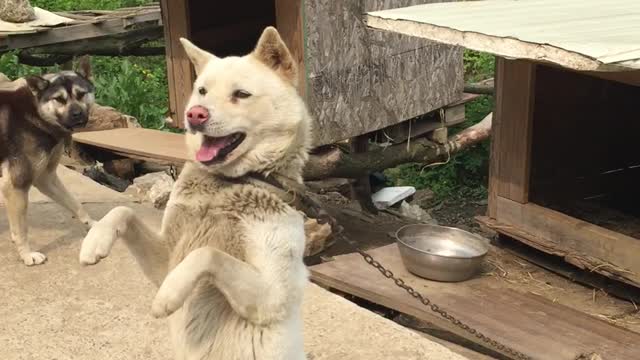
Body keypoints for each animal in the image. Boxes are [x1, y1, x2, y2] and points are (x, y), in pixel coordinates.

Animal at [0, 60, 97, 266]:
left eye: (81, 94)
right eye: (59, 99)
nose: (77, 114)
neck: (36, 113)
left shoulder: (46, 178)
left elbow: (75, 203)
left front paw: (93, 224)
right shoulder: (16, 184)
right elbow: (22, 229)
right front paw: (27, 254)